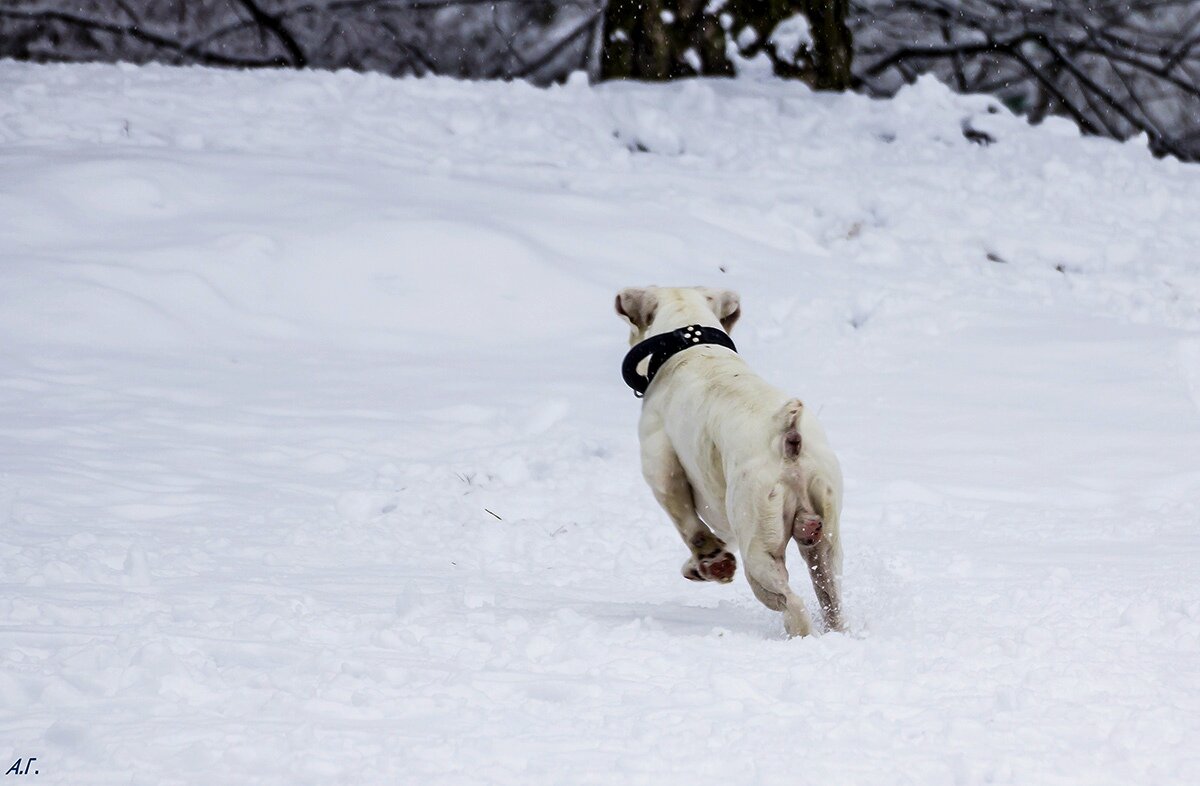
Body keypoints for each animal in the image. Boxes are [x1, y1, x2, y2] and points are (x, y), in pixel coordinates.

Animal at [619, 285, 844, 638]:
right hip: (825, 544)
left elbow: (690, 525)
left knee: (792, 602)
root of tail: (786, 432)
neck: (690, 345)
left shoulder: (662, 471)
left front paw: (712, 562)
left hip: (760, 553)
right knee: (831, 599)